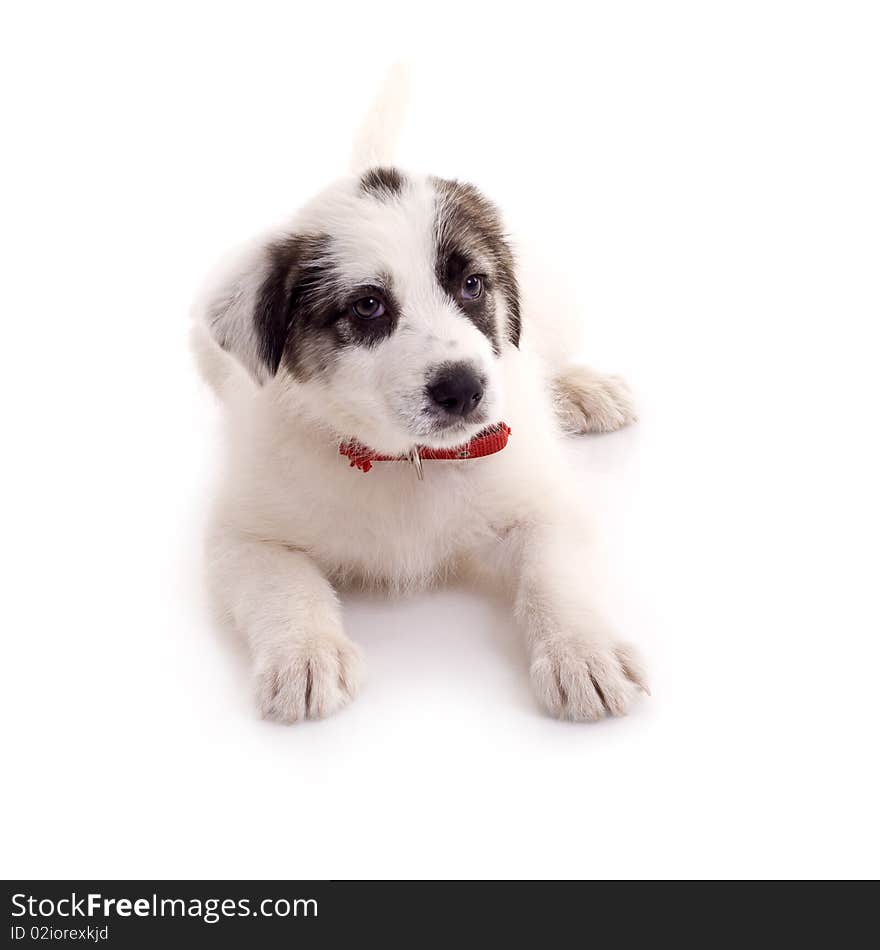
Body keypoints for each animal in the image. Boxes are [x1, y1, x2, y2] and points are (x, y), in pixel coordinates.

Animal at [192, 74, 648, 724]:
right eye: (368, 306)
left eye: (472, 284)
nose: (464, 387)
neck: (408, 461)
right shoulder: (243, 536)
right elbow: (283, 586)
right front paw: (306, 654)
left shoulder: (545, 506)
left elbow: (554, 575)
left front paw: (583, 651)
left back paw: (582, 391)